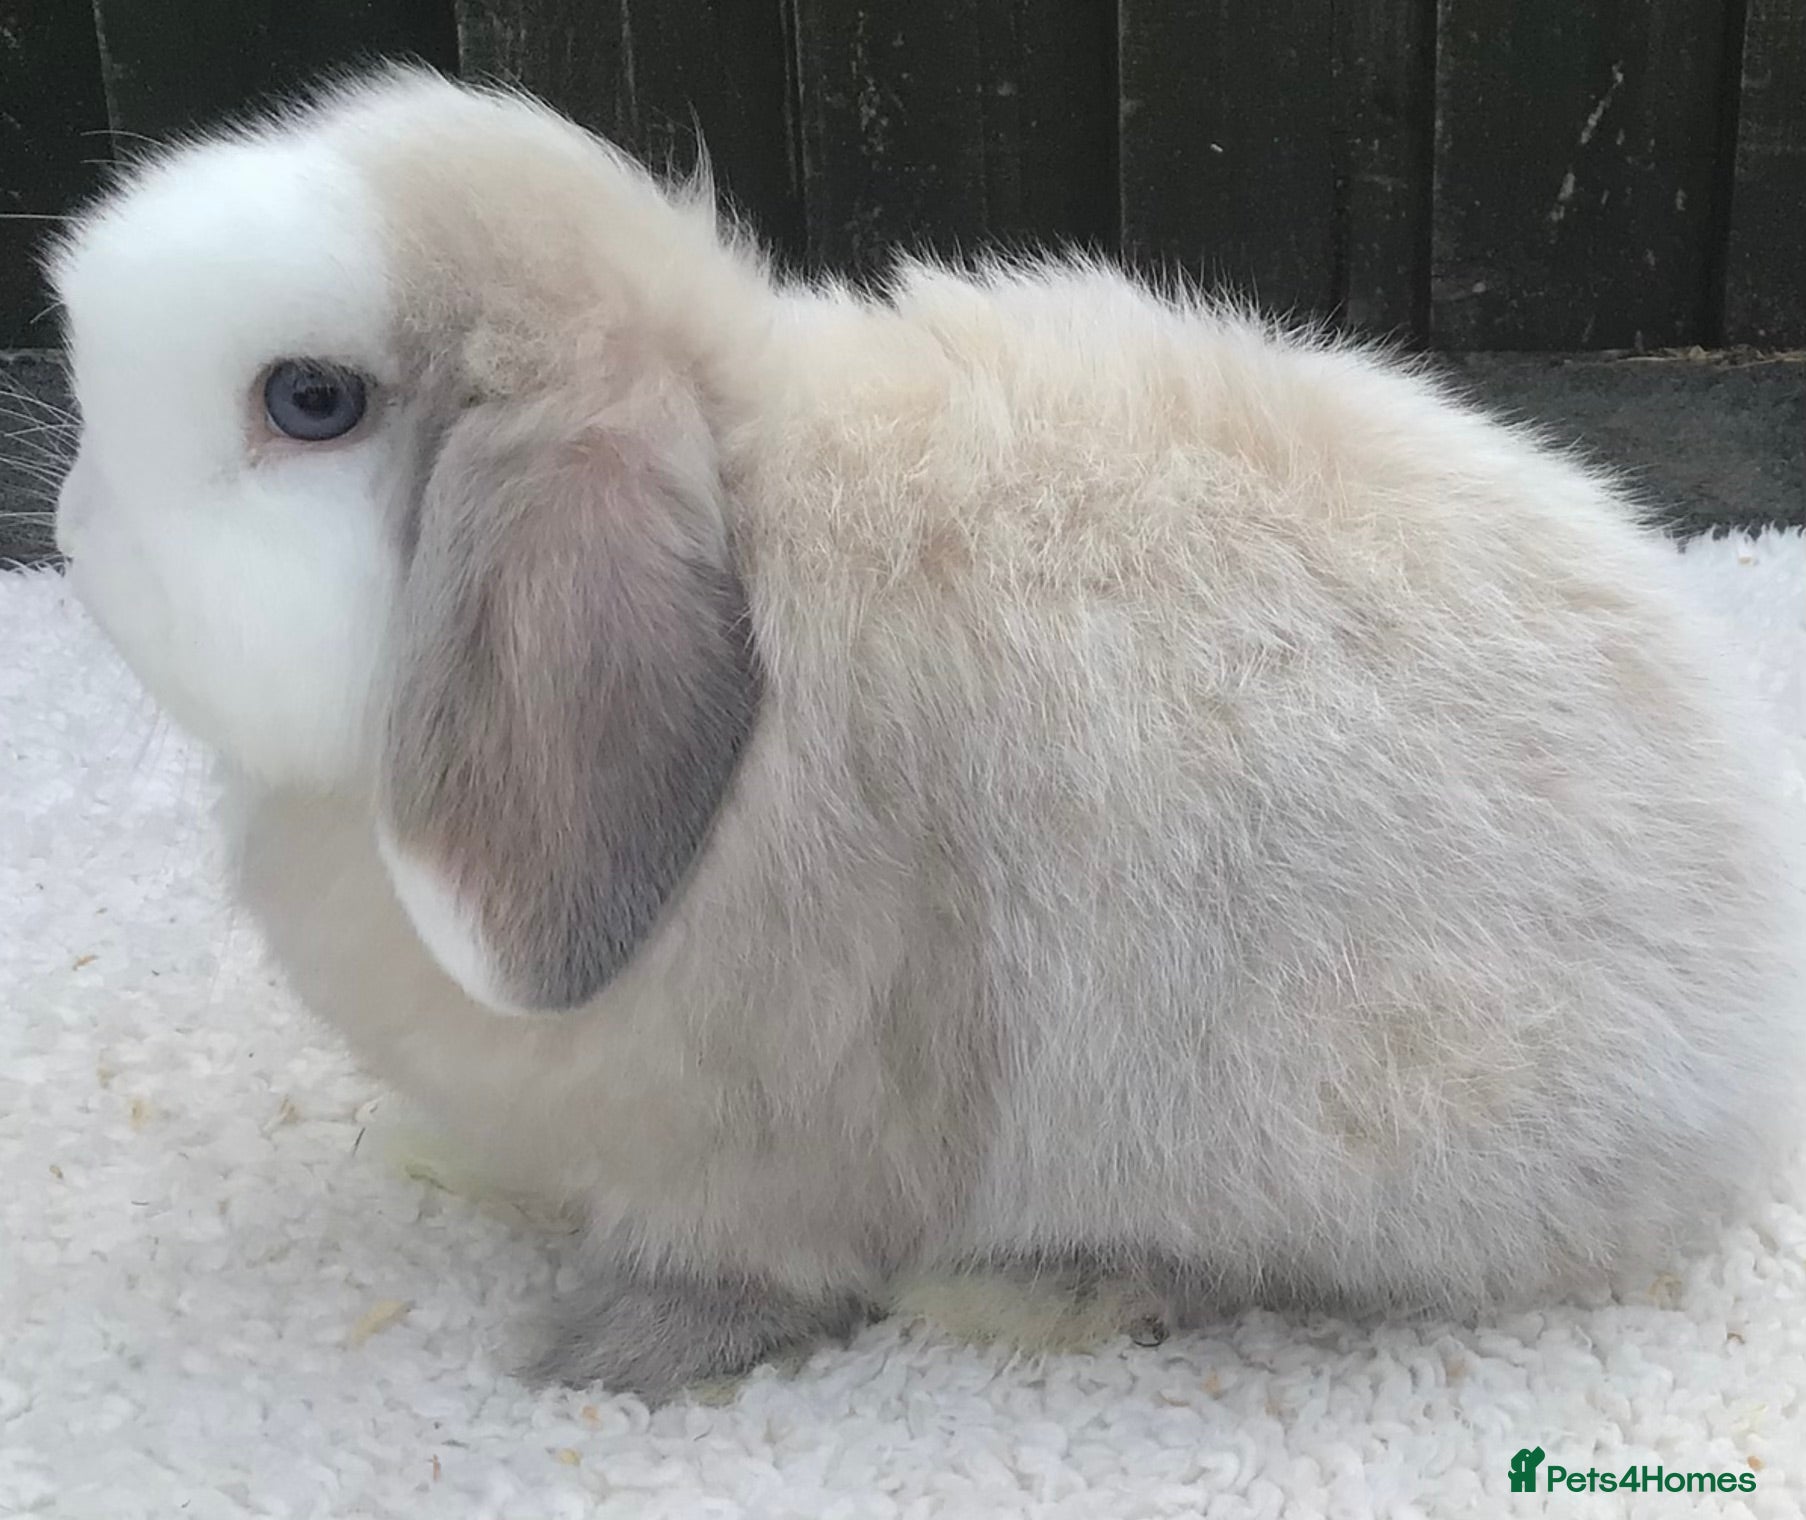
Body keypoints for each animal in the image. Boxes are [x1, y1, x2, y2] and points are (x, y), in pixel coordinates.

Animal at [48, 67, 1805, 1403]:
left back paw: (1012, 1294)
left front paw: (588, 1359)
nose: (66, 528)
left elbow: (740, 1269)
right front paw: (448, 1162)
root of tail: (1729, 1077)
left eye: (310, 402)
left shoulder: (765, 1134)